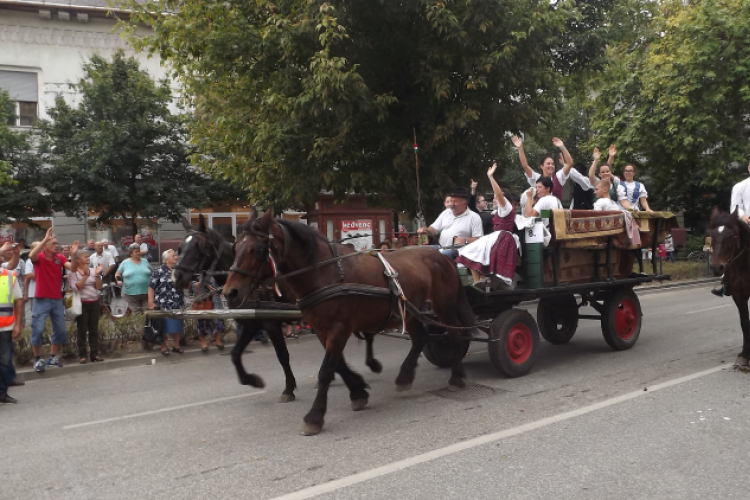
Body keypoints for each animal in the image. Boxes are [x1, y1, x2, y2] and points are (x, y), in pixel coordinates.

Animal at [172, 214, 382, 402]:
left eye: (200, 248)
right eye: (180, 248)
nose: (177, 277)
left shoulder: (271, 324)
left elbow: (282, 355)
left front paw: (288, 388)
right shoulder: (252, 325)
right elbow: (235, 354)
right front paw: (252, 380)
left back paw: (371, 364)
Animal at [226, 207, 478, 434]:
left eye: (258, 249)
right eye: (235, 247)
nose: (230, 293)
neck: (324, 273)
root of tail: (441, 255)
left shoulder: (339, 328)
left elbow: (326, 370)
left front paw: (315, 416)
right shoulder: (321, 329)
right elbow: (337, 364)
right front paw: (358, 390)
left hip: (443, 305)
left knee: (456, 335)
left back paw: (456, 377)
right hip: (409, 309)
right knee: (421, 338)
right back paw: (405, 376)